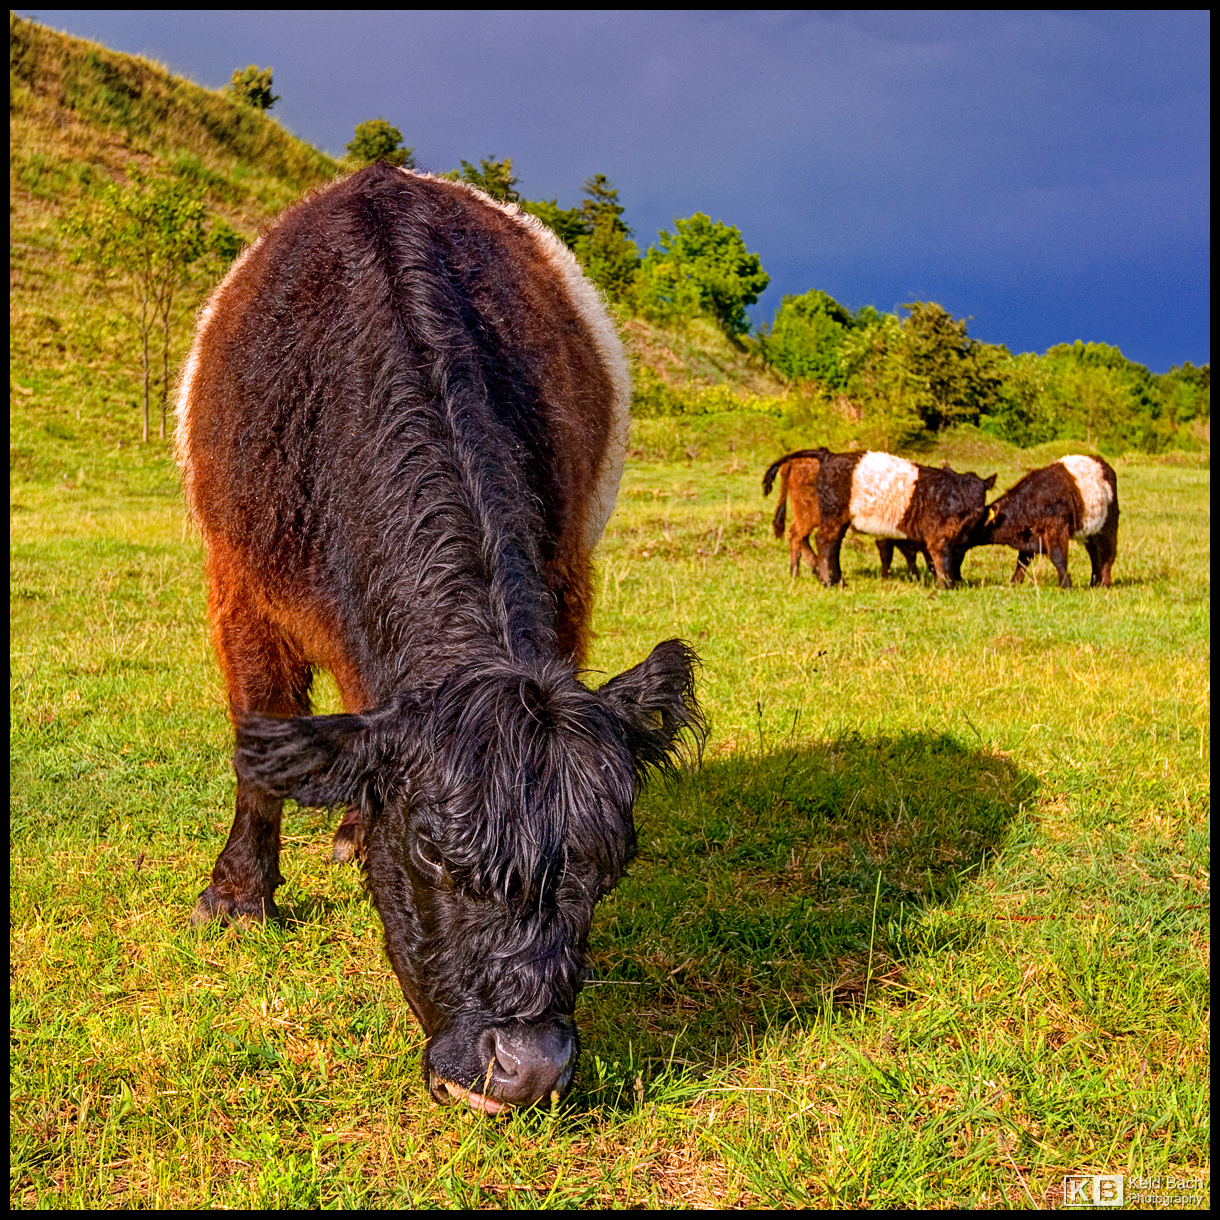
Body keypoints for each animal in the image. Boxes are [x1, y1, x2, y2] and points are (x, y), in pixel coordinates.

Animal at [175, 162, 702, 1117]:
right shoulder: (241, 590)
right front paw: (236, 896)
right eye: (432, 854)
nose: (527, 1071)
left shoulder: (566, 579)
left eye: (610, 868)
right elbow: (257, 750)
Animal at [761, 451, 922, 578]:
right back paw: (797, 572)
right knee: (796, 534)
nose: (916, 576)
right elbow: (889, 553)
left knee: (801, 537)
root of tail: (794, 462)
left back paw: (813, 569)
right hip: (810, 515)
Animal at [966, 458, 1117, 590]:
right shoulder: (1030, 535)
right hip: (1091, 531)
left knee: (1107, 552)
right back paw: (1095, 582)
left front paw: (1066, 585)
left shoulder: (1057, 527)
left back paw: (1104, 583)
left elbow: (1058, 557)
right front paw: (1015, 582)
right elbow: (1022, 560)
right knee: (1095, 552)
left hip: (1108, 526)